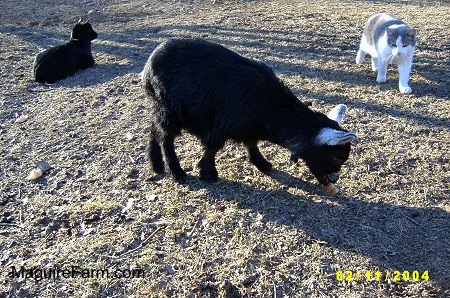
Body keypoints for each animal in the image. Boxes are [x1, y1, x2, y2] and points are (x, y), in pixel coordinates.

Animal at [142, 38, 356, 192]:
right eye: (336, 159)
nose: (334, 178)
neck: (267, 105)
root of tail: (148, 65)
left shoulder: (246, 127)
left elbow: (251, 143)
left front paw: (262, 164)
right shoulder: (220, 125)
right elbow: (213, 148)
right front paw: (208, 173)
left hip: (160, 107)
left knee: (155, 129)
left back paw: (156, 165)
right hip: (170, 109)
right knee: (166, 137)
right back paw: (176, 172)